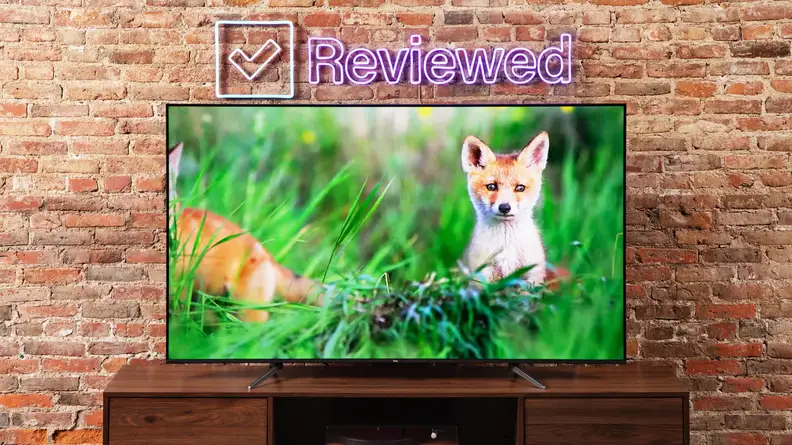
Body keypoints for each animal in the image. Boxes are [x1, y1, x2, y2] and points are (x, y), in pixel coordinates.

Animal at [461, 132, 549, 286]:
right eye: (491, 186)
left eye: (520, 188)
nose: (504, 207)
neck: (507, 250)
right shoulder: (482, 278)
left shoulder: (531, 277)